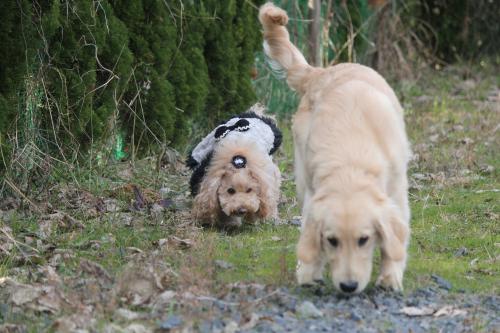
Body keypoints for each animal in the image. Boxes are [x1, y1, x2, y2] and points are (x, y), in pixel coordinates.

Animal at [260, 3, 412, 292]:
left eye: (364, 239)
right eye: (332, 241)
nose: (348, 286)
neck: (350, 164)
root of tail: (321, 72)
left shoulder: (396, 193)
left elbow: (393, 242)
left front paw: (390, 276)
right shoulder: (314, 195)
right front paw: (309, 271)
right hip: (303, 177)